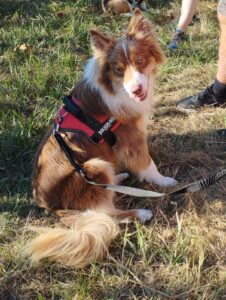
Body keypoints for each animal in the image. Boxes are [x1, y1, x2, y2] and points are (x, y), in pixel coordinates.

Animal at [27, 8, 177, 268]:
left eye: (140, 61)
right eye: (118, 69)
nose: (137, 90)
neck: (116, 88)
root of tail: (48, 205)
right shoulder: (131, 137)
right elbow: (147, 164)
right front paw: (163, 181)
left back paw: (119, 177)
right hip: (92, 166)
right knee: (107, 214)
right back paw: (140, 213)